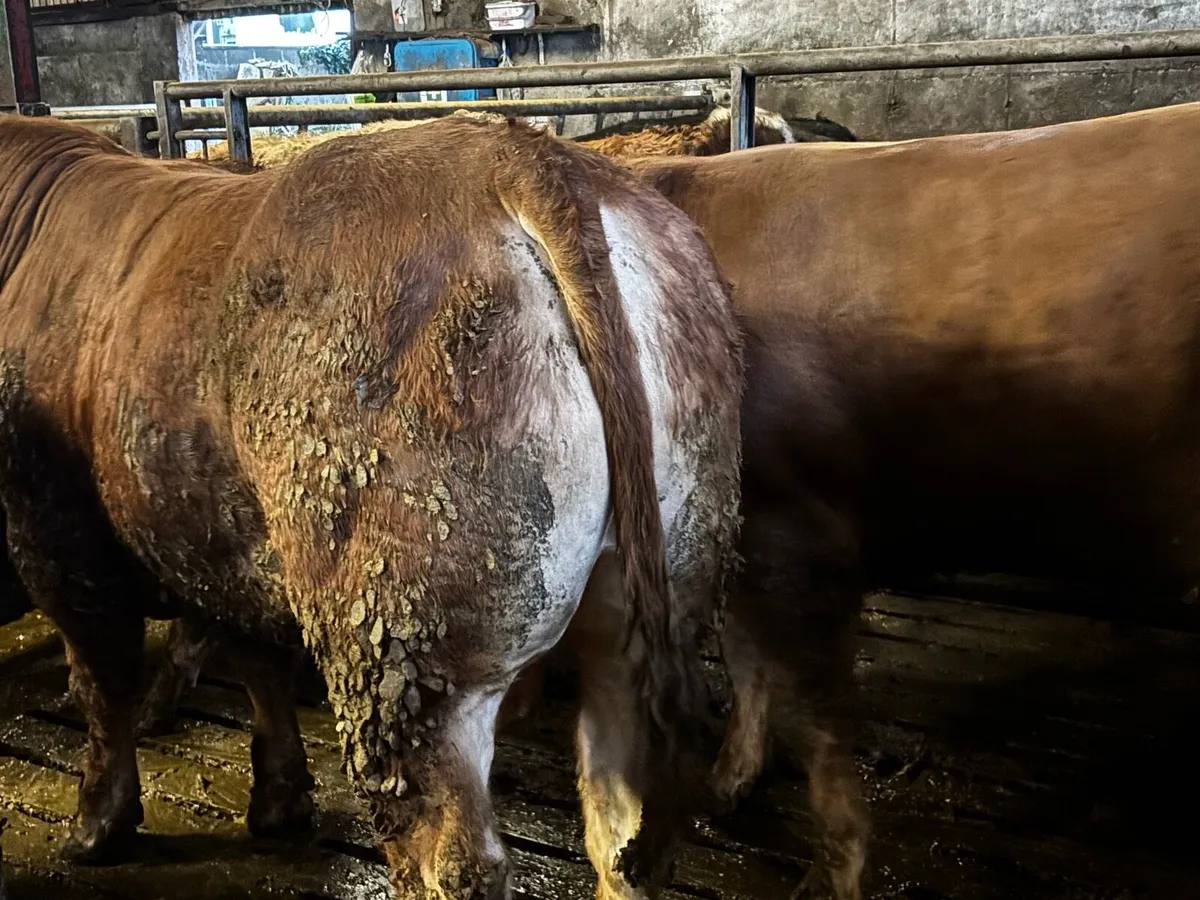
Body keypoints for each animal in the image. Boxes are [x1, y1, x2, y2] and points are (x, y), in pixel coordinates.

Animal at [0, 114, 744, 899]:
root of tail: (526, 156)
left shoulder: (56, 537)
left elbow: (101, 684)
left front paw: (96, 825)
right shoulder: (222, 537)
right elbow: (257, 662)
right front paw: (280, 801)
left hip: (402, 645)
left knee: (447, 853)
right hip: (652, 590)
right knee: (618, 824)